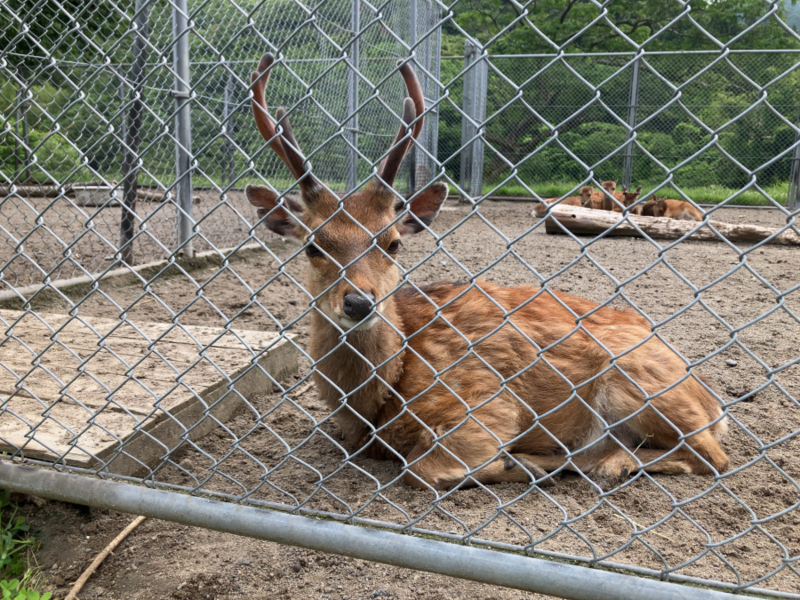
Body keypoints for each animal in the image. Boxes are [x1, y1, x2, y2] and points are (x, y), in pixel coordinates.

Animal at [247, 54, 728, 490]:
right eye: (312, 245)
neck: (376, 403)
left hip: (634, 380)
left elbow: (420, 469)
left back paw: (583, 463)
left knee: (710, 457)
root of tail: (715, 403)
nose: (358, 302)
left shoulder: (486, 402)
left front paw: (517, 464)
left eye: (393, 242)